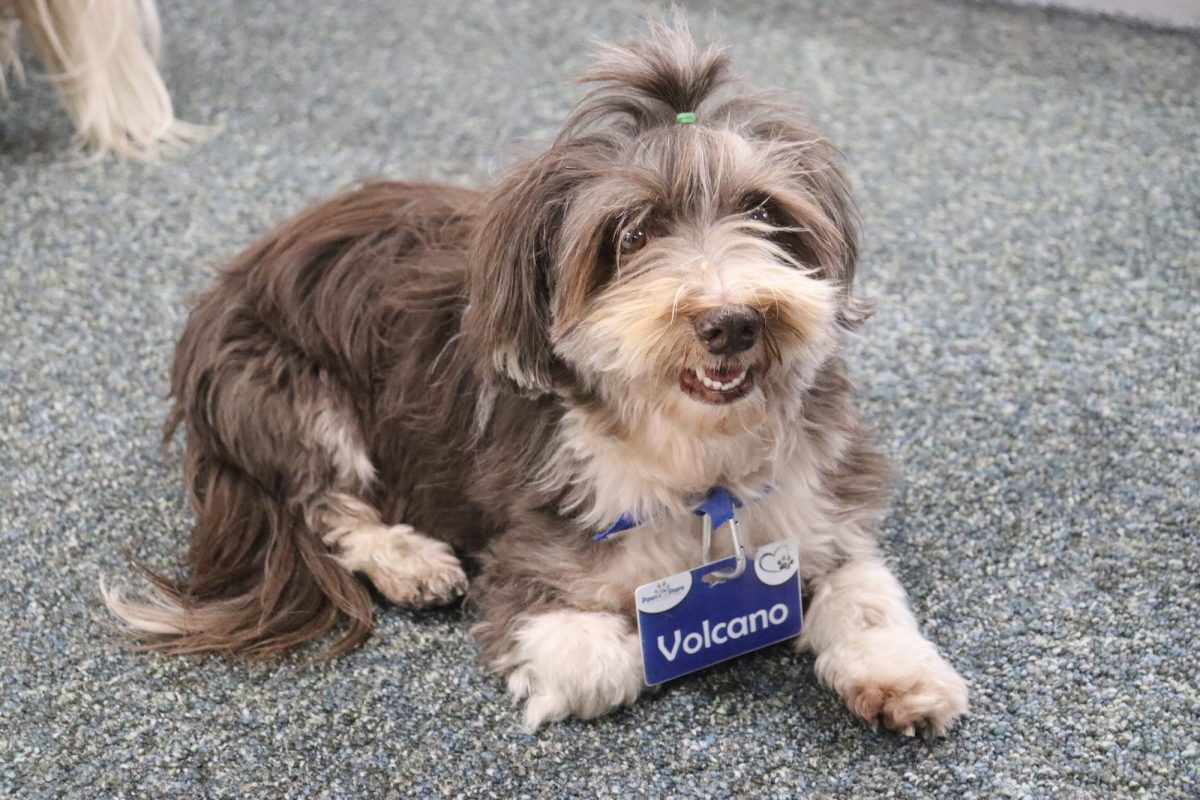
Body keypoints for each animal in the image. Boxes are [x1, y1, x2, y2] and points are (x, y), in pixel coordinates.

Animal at [100, 21, 964, 738]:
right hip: (289, 393)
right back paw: (410, 560)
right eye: (631, 234)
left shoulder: (822, 501)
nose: (733, 322)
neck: (700, 456)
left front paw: (900, 677)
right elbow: (592, 659)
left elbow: (863, 592)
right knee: (321, 500)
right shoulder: (536, 542)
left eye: (762, 212)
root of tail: (235, 270)